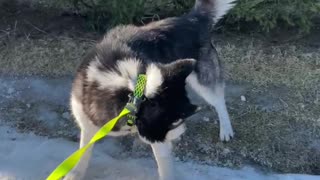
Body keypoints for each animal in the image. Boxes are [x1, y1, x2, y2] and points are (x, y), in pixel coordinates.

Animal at [65, 0, 236, 180]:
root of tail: (191, 19)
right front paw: (76, 173)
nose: (180, 133)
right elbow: (83, 152)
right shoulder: (87, 122)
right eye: (175, 121)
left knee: (219, 101)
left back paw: (226, 129)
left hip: (204, 81)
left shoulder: (157, 139)